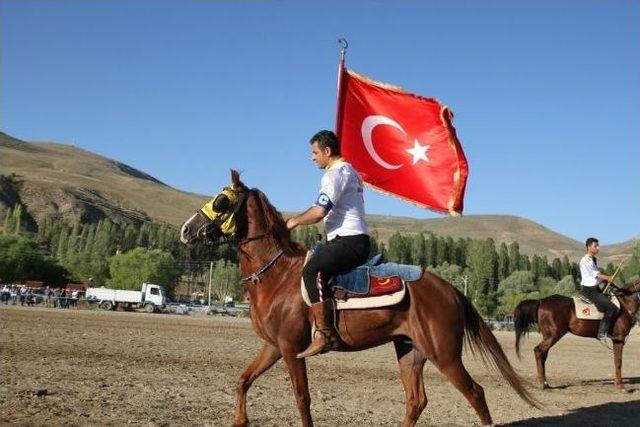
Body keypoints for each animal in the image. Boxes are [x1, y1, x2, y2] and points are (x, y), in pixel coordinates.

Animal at [179, 171, 536, 427]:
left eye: (221, 201)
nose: (185, 230)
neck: (277, 276)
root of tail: (451, 290)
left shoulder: (292, 348)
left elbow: (302, 398)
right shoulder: (274, 345)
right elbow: (243, 380)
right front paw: (240, 420)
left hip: (445, 354)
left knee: (475, 393)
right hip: (410, 351)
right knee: (416, 401)